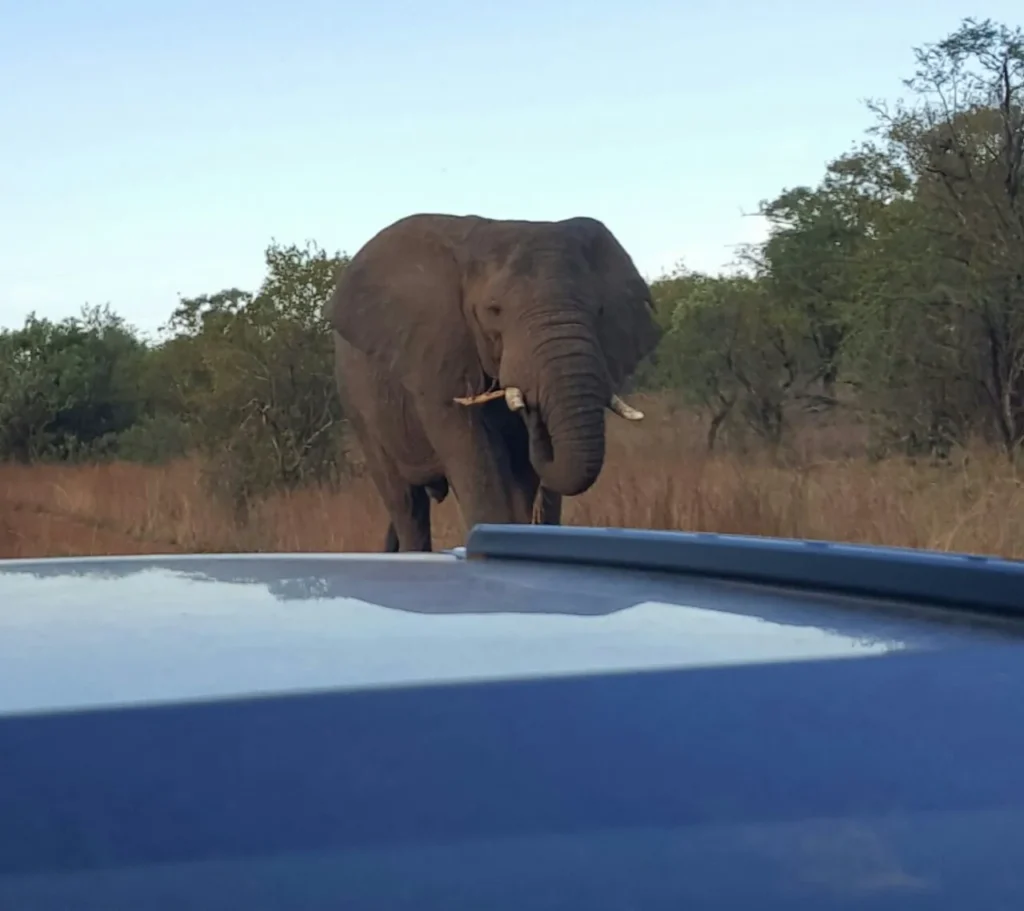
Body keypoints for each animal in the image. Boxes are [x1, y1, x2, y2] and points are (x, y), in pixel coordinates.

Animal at [323, 212, 663, 552]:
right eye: (493, 310)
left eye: (600, 310)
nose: (534, 413)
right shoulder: (438, 361)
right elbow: (478, 466)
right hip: (357, 406)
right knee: (405, 503)